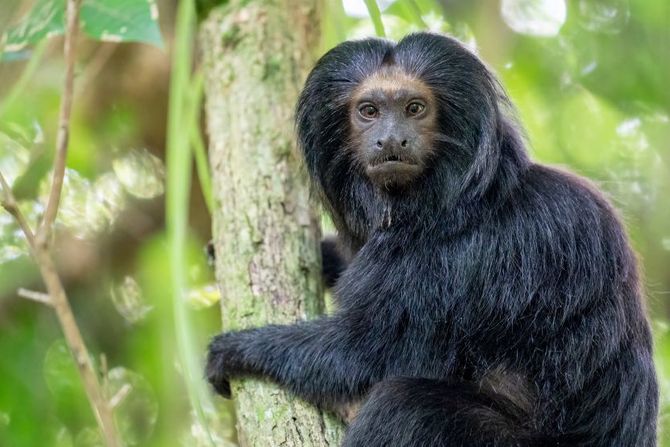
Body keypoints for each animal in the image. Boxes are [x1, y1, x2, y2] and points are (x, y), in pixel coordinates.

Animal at [206, 33, 660, 446]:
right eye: (368, 111)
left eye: (414, 108)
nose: (391, 139)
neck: (456, 202)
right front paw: (325, 256)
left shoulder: (461, 260)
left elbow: (362, 355)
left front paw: (239, 350)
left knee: (405, 406)